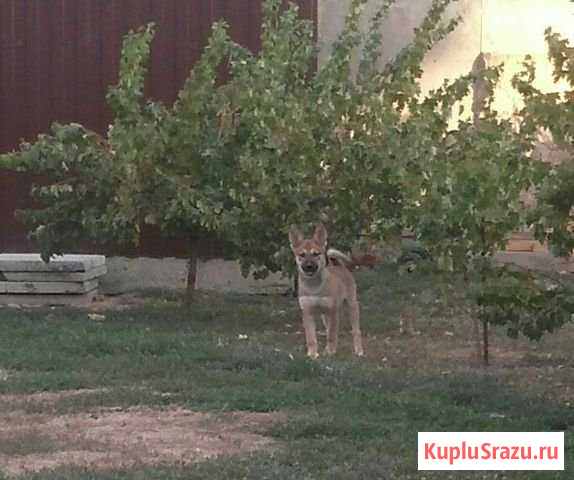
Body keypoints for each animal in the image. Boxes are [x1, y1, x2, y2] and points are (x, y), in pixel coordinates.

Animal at [288, 223, 364, 358]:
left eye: (316, 254)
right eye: (302, 255)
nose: (309, 267)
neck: (314, 287)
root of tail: (339, 266)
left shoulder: (332, 311)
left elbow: (332, 335)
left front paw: (330, 352)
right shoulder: (307, 312)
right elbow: (311, 337)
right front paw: (313, 354)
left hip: (352, 306)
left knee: (355, 331)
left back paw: (358, 350)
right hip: (325, 315)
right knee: (328, 329)